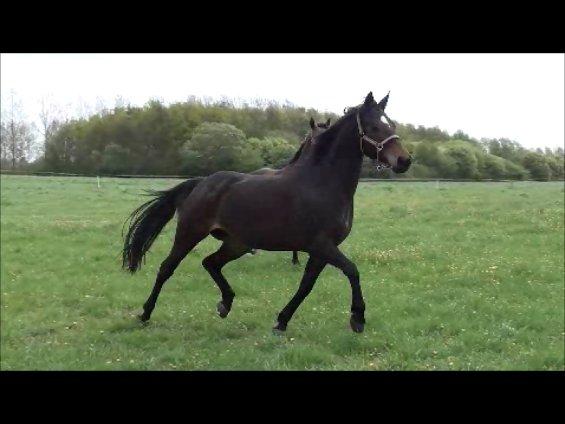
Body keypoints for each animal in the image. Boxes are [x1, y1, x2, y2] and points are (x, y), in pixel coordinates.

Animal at [123, 91, 412, 332]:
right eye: (374, 127)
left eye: (392, 125)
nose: (404, 161)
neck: (321, 183)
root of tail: (201, 183)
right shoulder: (322, 245)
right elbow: (352, 270)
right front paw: (358, 318)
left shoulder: (321, 249)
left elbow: (306, 285)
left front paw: (281, 321)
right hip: (189, 233)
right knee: (167, 268)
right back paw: (145, 314)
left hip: (236, 243)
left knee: (210, 263)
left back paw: (226, 304)